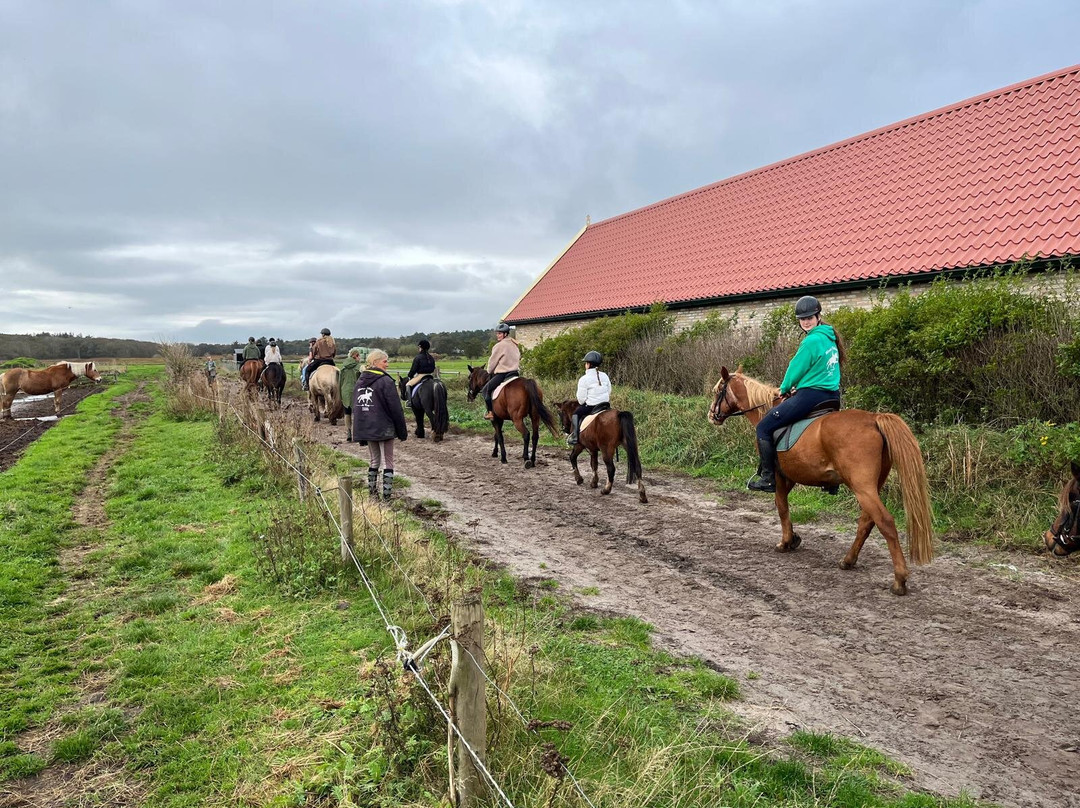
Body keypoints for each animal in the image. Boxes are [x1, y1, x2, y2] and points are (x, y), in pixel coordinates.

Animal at [708, 365, 937, 591]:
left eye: (718, 391)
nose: (711, 415)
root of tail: (874, 418)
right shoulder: (791, 476)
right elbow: (784, 506)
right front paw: (793, 538)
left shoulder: (778, 476)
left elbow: (781, 506)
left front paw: (785, 542)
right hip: (873, 485)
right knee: (866, 521)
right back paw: (848, 560)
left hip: (862, 487)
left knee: (885, 522)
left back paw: (899, 579)